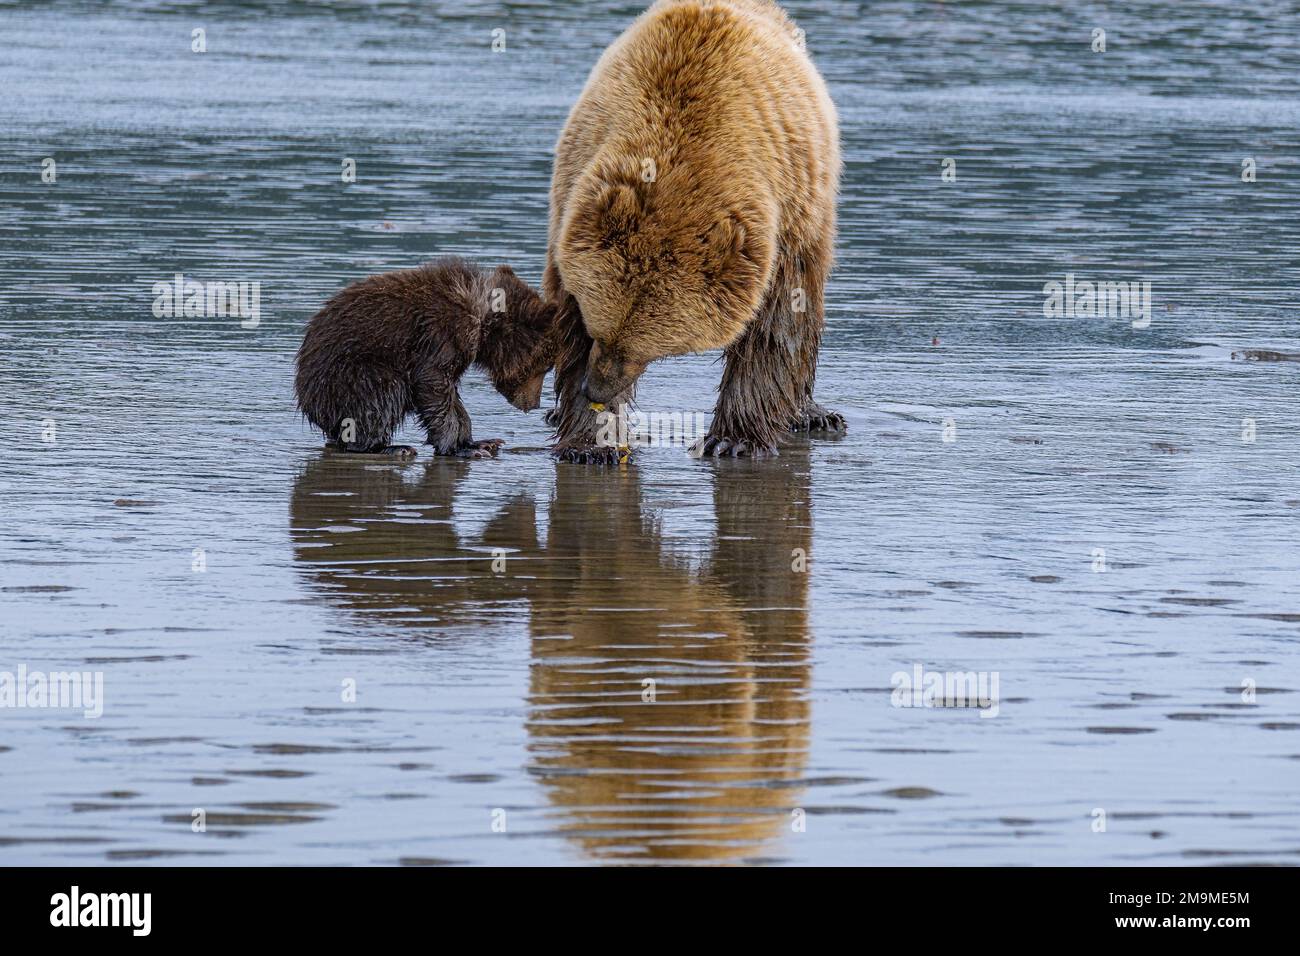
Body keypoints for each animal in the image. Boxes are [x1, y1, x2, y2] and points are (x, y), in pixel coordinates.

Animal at [294, 257, 557, 459]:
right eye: (546, 366)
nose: (534, 404)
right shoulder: (438, 335)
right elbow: (432, 383)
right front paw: (460, 449)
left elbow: (451, 395)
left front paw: (481, 442)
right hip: (349, 373)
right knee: (383, 393)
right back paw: (391, 447)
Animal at [543, 0, 844, 463]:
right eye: (601, 330)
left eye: (643, 348)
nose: (596, 389)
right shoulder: (576, 195)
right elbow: (567, 321)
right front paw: (590, 442)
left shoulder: (787, 217)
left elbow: (777, 326)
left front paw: (733, 440)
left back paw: (812, 413)